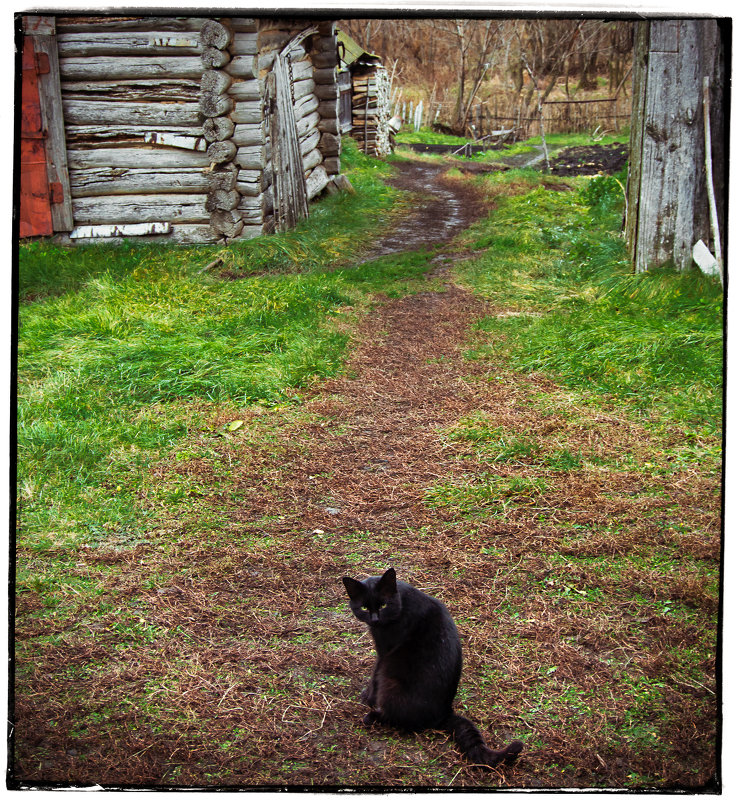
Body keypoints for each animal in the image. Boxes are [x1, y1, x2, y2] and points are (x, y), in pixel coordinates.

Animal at [342, 568, 520, 768]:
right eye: (364, 608)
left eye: (384, 605)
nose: (374, 619)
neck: (401, 602)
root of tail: (445, 712)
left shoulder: (385, 651)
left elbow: (375, 673)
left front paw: (368, 697)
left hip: (391, 680)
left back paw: (372, 717)